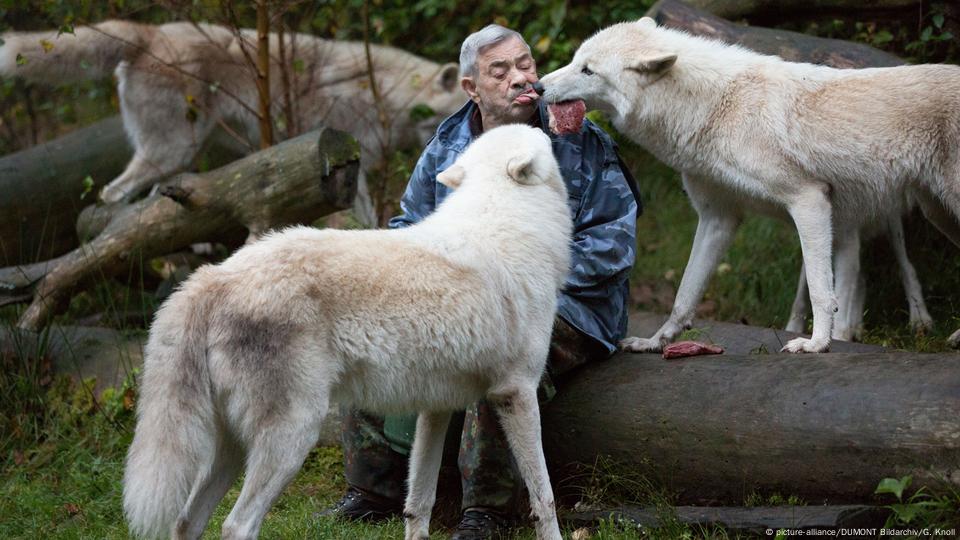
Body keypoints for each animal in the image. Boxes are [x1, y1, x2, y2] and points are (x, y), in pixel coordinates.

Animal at [0, 20, 464, 225]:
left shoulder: (356, 167)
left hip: (176, 156)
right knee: (114, 194)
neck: (385, 92)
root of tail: (148, 32)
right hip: (172, 150)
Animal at [121, 123, 568, 540]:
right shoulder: (516, 392)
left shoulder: (436, 407)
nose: (543, 109)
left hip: (231, 448)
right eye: (542, 139)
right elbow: (543, 497)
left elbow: (418, 504)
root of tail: (214, 277)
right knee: (236, 525)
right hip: (294, 436)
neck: (508, 219)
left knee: (185, 522)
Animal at [540, 16, 960, 352]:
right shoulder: (718, 219)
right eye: (575, 61)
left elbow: (822, 290)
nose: (540, 86)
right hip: (936, 213)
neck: (716, 106)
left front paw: (817, 344)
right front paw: (654, 342)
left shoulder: (809, 200)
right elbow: (684, 295)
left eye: (588, 71)